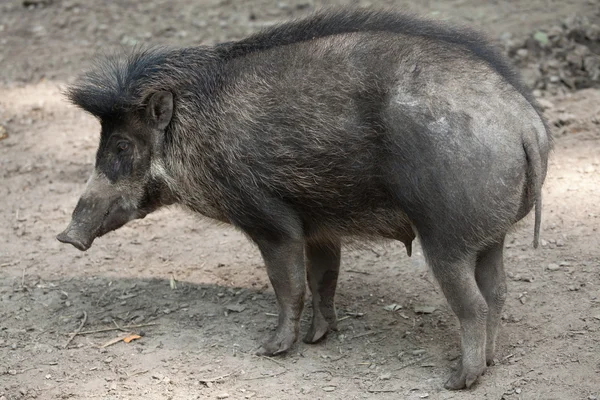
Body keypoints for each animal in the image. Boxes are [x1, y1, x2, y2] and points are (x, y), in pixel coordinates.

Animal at [56, 9, 548, 390]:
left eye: (121, 145)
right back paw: (491, 361)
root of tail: (525, 124)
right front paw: (318, 339)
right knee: (498, 292)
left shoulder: (270, 220)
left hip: (446, 236)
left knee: (474, 304)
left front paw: (270, 349)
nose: (66, 237)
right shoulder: (320, 228)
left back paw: (459, 380)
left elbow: (288, 285)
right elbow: (322, 280)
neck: (195, 135)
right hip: (491, 235)